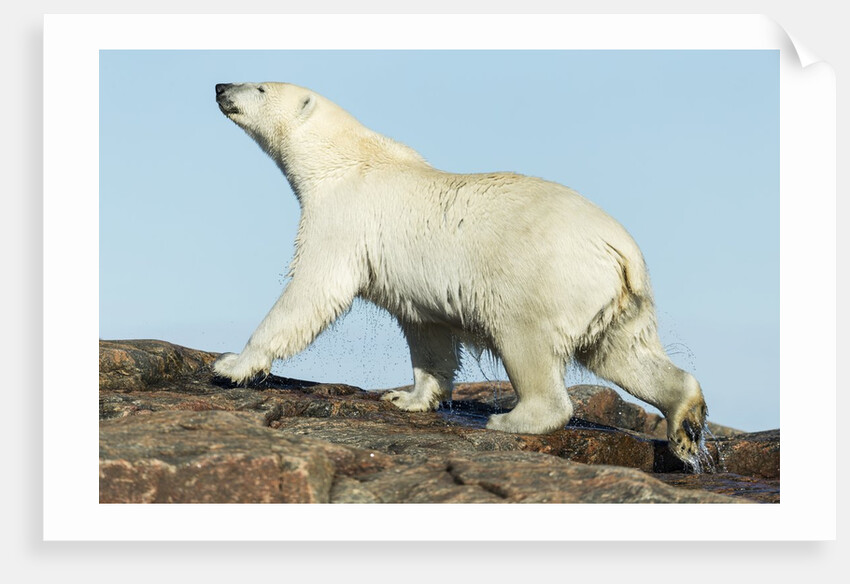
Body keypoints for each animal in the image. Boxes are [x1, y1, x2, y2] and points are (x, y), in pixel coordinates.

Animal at [212, 81, 709, 464]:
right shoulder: (412, 284)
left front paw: (232, 365)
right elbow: (427, 333)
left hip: (543, 278)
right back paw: (685, 419)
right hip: (613, 298)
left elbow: (313, 290)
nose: (220, 86)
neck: (346, 159)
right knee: (622, 353)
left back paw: (510, 419)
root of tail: (622, 251)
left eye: (260, 87)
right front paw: (408, 398)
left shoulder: (345, 218)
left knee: (526, 342)